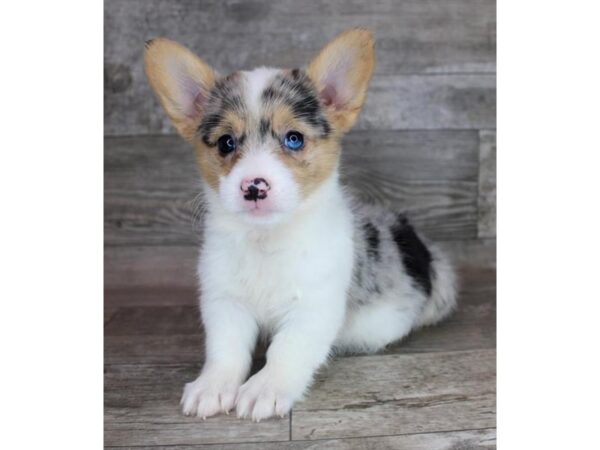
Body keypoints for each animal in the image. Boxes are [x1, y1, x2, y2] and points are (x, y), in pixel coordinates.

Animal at [144, 28, 454, 422]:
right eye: (226, 143)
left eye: (294, 138)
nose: (254, 187)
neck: (266, 239)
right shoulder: (225, 302)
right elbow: (225, 350)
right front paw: (212, 386)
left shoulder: (312, 308)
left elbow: (287, 350)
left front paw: (265, 388)